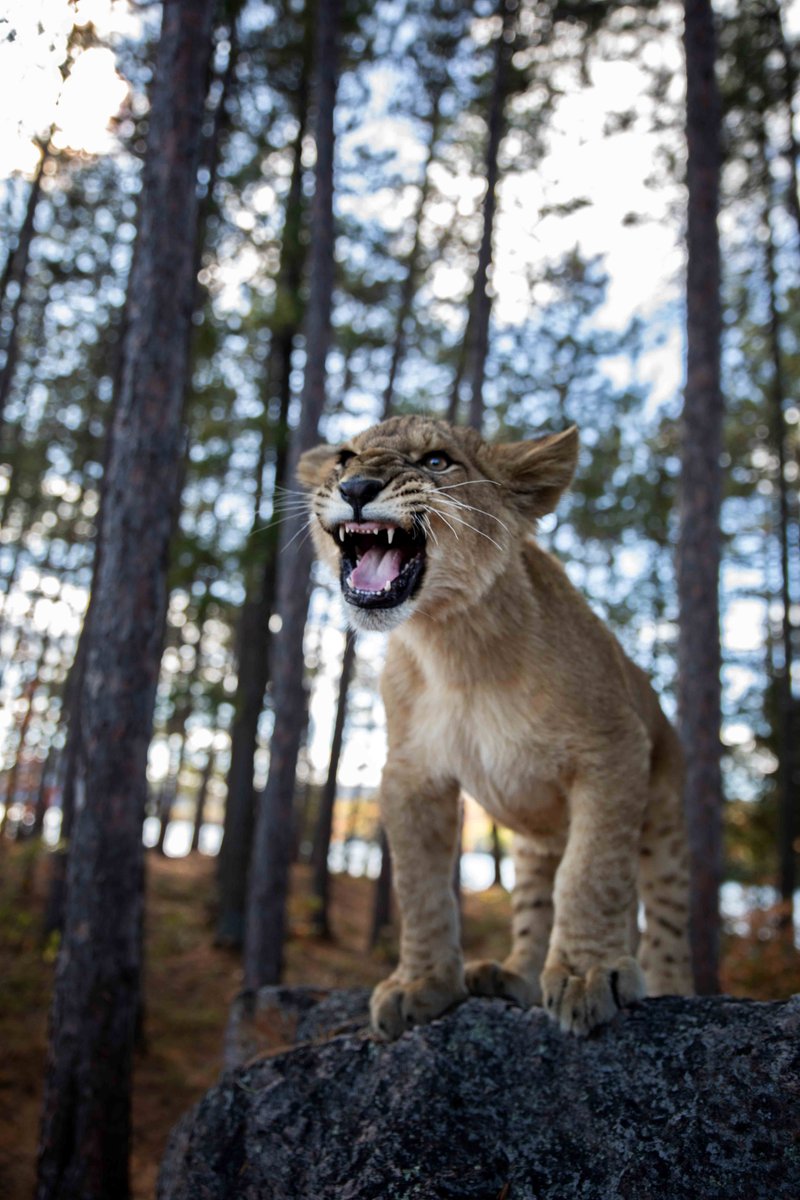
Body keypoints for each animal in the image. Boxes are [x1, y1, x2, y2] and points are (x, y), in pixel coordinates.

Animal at [298, 414, 693, 1037]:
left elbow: (593, 872)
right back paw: (511, 976)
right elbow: (421, 889)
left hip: (666, 817)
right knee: (534, 908)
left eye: (436, 461)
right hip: (531, 844)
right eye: (344, 458)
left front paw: (587, 973)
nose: (356, 487)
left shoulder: (613, 748)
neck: (454, 645)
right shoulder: (409, 775)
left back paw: (667, 984)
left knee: (667, 916)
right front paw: (422, 984)